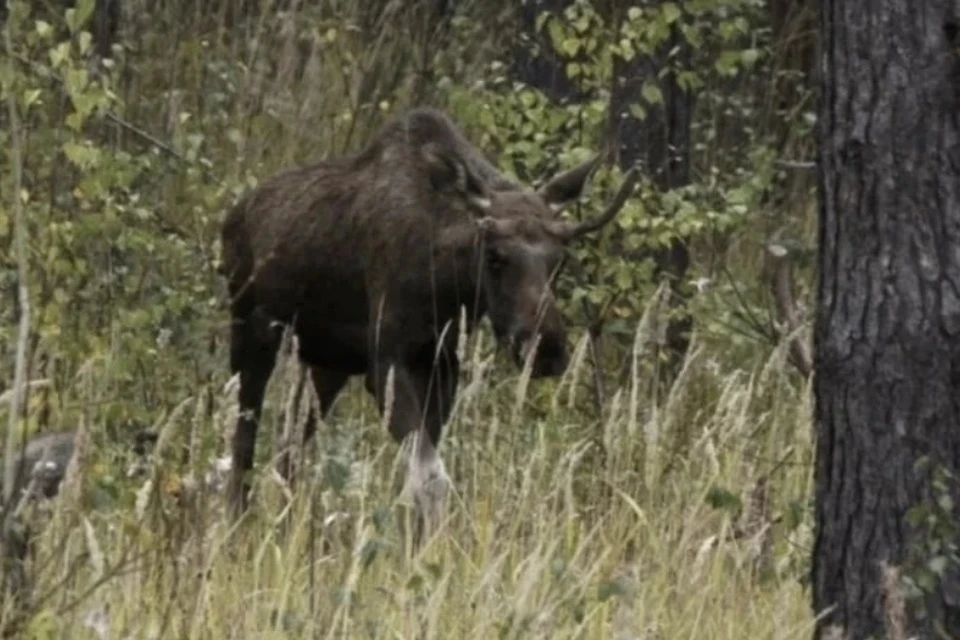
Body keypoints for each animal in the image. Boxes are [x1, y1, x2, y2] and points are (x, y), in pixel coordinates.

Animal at [218, 106, 636, 536]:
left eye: (560, 261)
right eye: (495, 256)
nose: (546, 347)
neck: (447, 281)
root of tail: (233, 217)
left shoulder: (440, 367)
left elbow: (420, 479)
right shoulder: (386, 364)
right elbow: (431, 479)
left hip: (328, 363)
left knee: (288, 446)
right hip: (252, 330)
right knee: (244, 438)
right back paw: (236, 524)